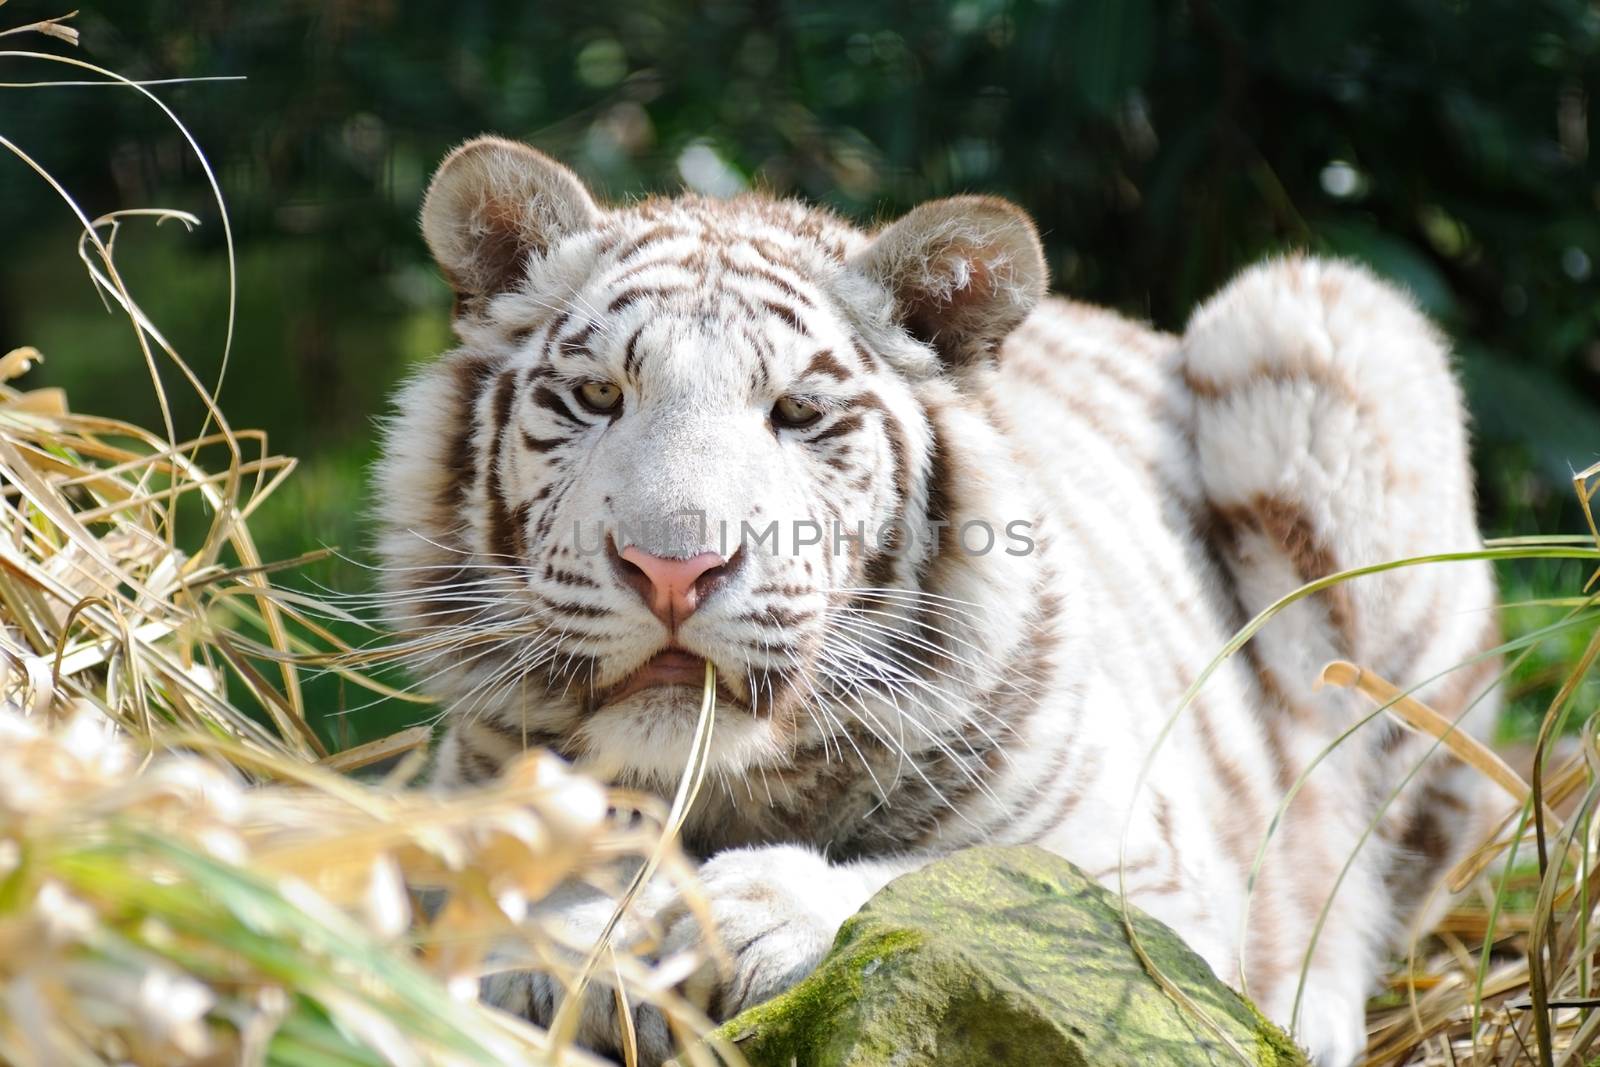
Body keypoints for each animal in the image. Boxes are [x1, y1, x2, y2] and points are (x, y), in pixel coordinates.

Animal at [371, 137, 1497, 1062]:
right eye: (598, 395)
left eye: (797, 413)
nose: (673, 568)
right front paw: (582, 934)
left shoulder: (1145, 883)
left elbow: (956, 878)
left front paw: (741, 911)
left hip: (1313, 320)